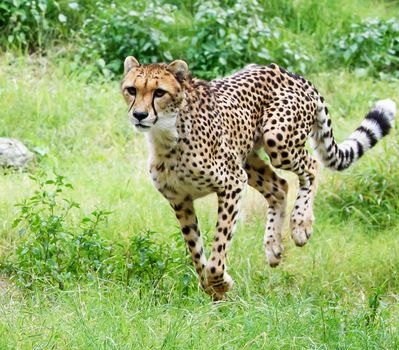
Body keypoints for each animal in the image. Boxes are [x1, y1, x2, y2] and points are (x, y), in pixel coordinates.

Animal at [122, 56, 396, 300]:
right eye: (132, 90)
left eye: (159, 92)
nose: (139, 115)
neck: (167, 135)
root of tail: (288, 72)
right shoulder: (181, 200)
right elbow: (195, 250)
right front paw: (212, 288)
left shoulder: (232, 183)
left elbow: (219, 245)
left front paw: (219, 282)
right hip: (248, 159)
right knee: (280, 186)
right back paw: (273, 246)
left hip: (277, 141)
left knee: (311, 166)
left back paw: (300, 224)